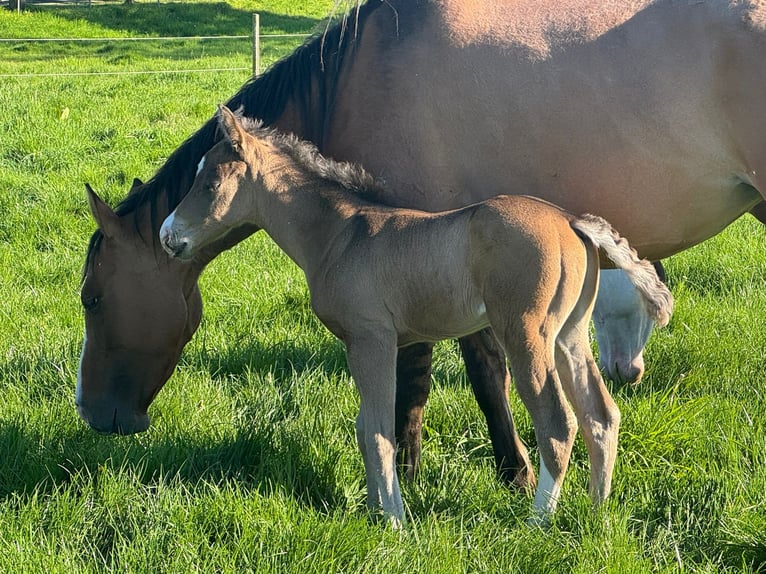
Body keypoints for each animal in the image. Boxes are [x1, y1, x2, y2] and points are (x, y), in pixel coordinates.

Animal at [156, 106, 672, 524]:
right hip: (570, 334)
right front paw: (373, 509)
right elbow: (371, 425)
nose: (167, 235)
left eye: (210, 182)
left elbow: (377, 429)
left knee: (558, 423)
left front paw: (393, 519)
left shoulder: (371, 339)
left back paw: (538, 522)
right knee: (601, 415)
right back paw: (597, 512)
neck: (340, 235)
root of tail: (571, 220)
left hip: (526, 334)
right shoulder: (373, 344)